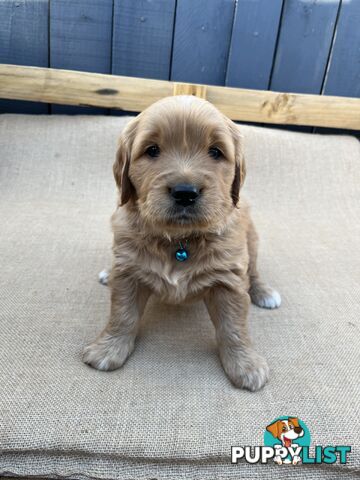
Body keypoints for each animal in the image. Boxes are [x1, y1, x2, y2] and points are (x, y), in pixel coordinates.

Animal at [84, 95, 282, 392]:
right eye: (152, 150)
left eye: (215, 152)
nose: (185, 193)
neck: (179, 240)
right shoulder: (129, 274)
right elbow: (123, 314)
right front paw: (107, 349)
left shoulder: (228, 279)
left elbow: (233, 326)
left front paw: (246, 365)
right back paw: (108, 273)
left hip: (252, 240)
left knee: (254, 272)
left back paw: (264, 292)